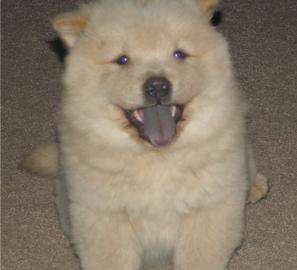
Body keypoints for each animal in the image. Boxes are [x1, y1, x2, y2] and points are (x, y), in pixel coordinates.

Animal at [25, 0, 268, 270]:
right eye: (122, 60)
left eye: (179, 54)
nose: (157, 85)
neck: (156, 157)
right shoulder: (106, 216)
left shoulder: (208, 209)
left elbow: (198, 258)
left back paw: (256, 187)